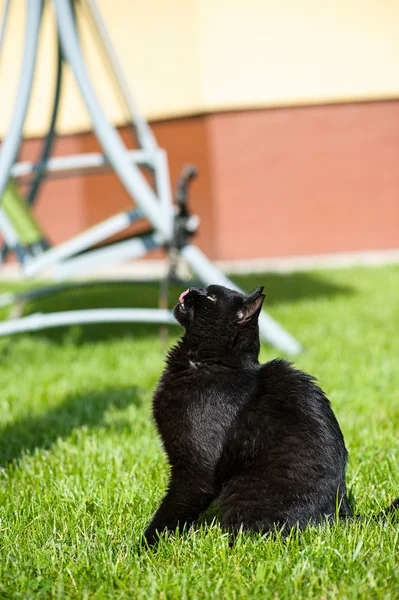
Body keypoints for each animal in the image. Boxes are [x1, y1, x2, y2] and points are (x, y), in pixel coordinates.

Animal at [144, 284, 399, 544]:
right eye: (205, 289)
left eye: (211, 297)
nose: (192, 288)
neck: (210, 364)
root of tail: (342, 514)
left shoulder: (196, 468)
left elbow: (173, 509)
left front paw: (145, 545)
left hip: (245, 497)